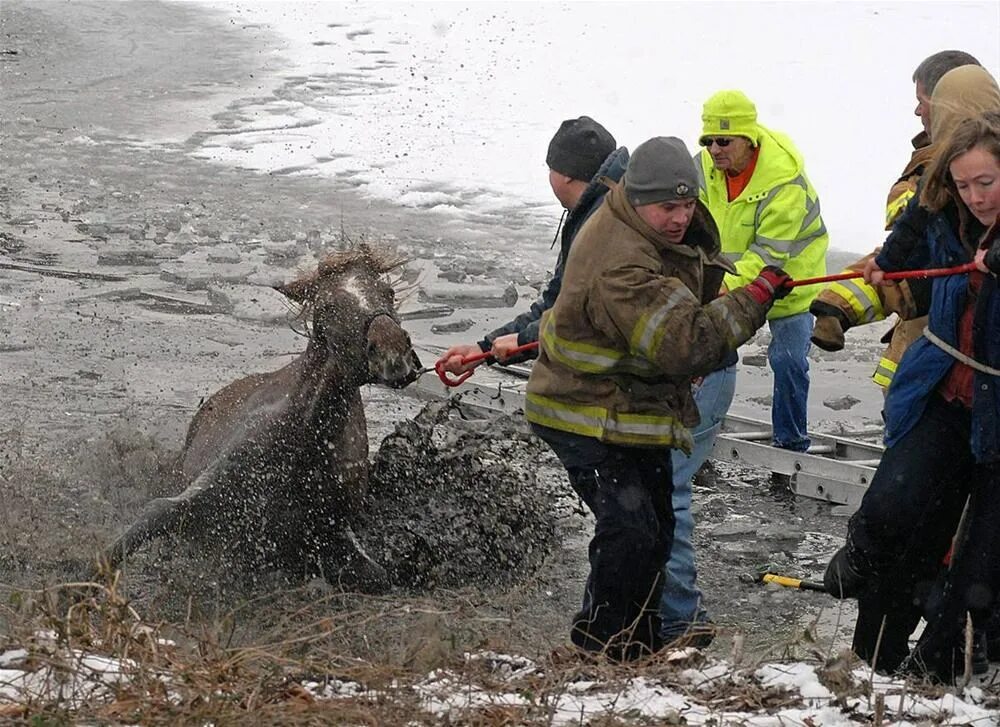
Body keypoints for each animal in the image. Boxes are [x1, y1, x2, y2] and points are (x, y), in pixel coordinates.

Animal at [103, 246, 424, 592]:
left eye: (389, 293)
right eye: (328, 306)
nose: (394, 354)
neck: (303, 438)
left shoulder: (328, 534)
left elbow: (377, 575)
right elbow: (152, 517)